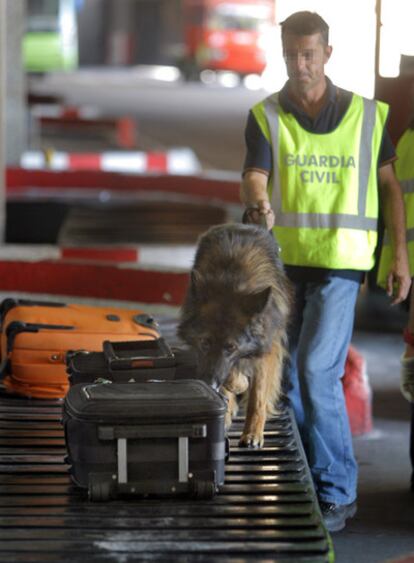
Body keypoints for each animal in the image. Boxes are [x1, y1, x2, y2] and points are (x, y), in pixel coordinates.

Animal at [177, 224, 292, 450]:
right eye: (204, 343)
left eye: (231, 347)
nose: (209, 384)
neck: (232, 280)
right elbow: (231, 376)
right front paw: (234, 390)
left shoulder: (268, 345)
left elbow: (258, 394)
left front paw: (253, 432)